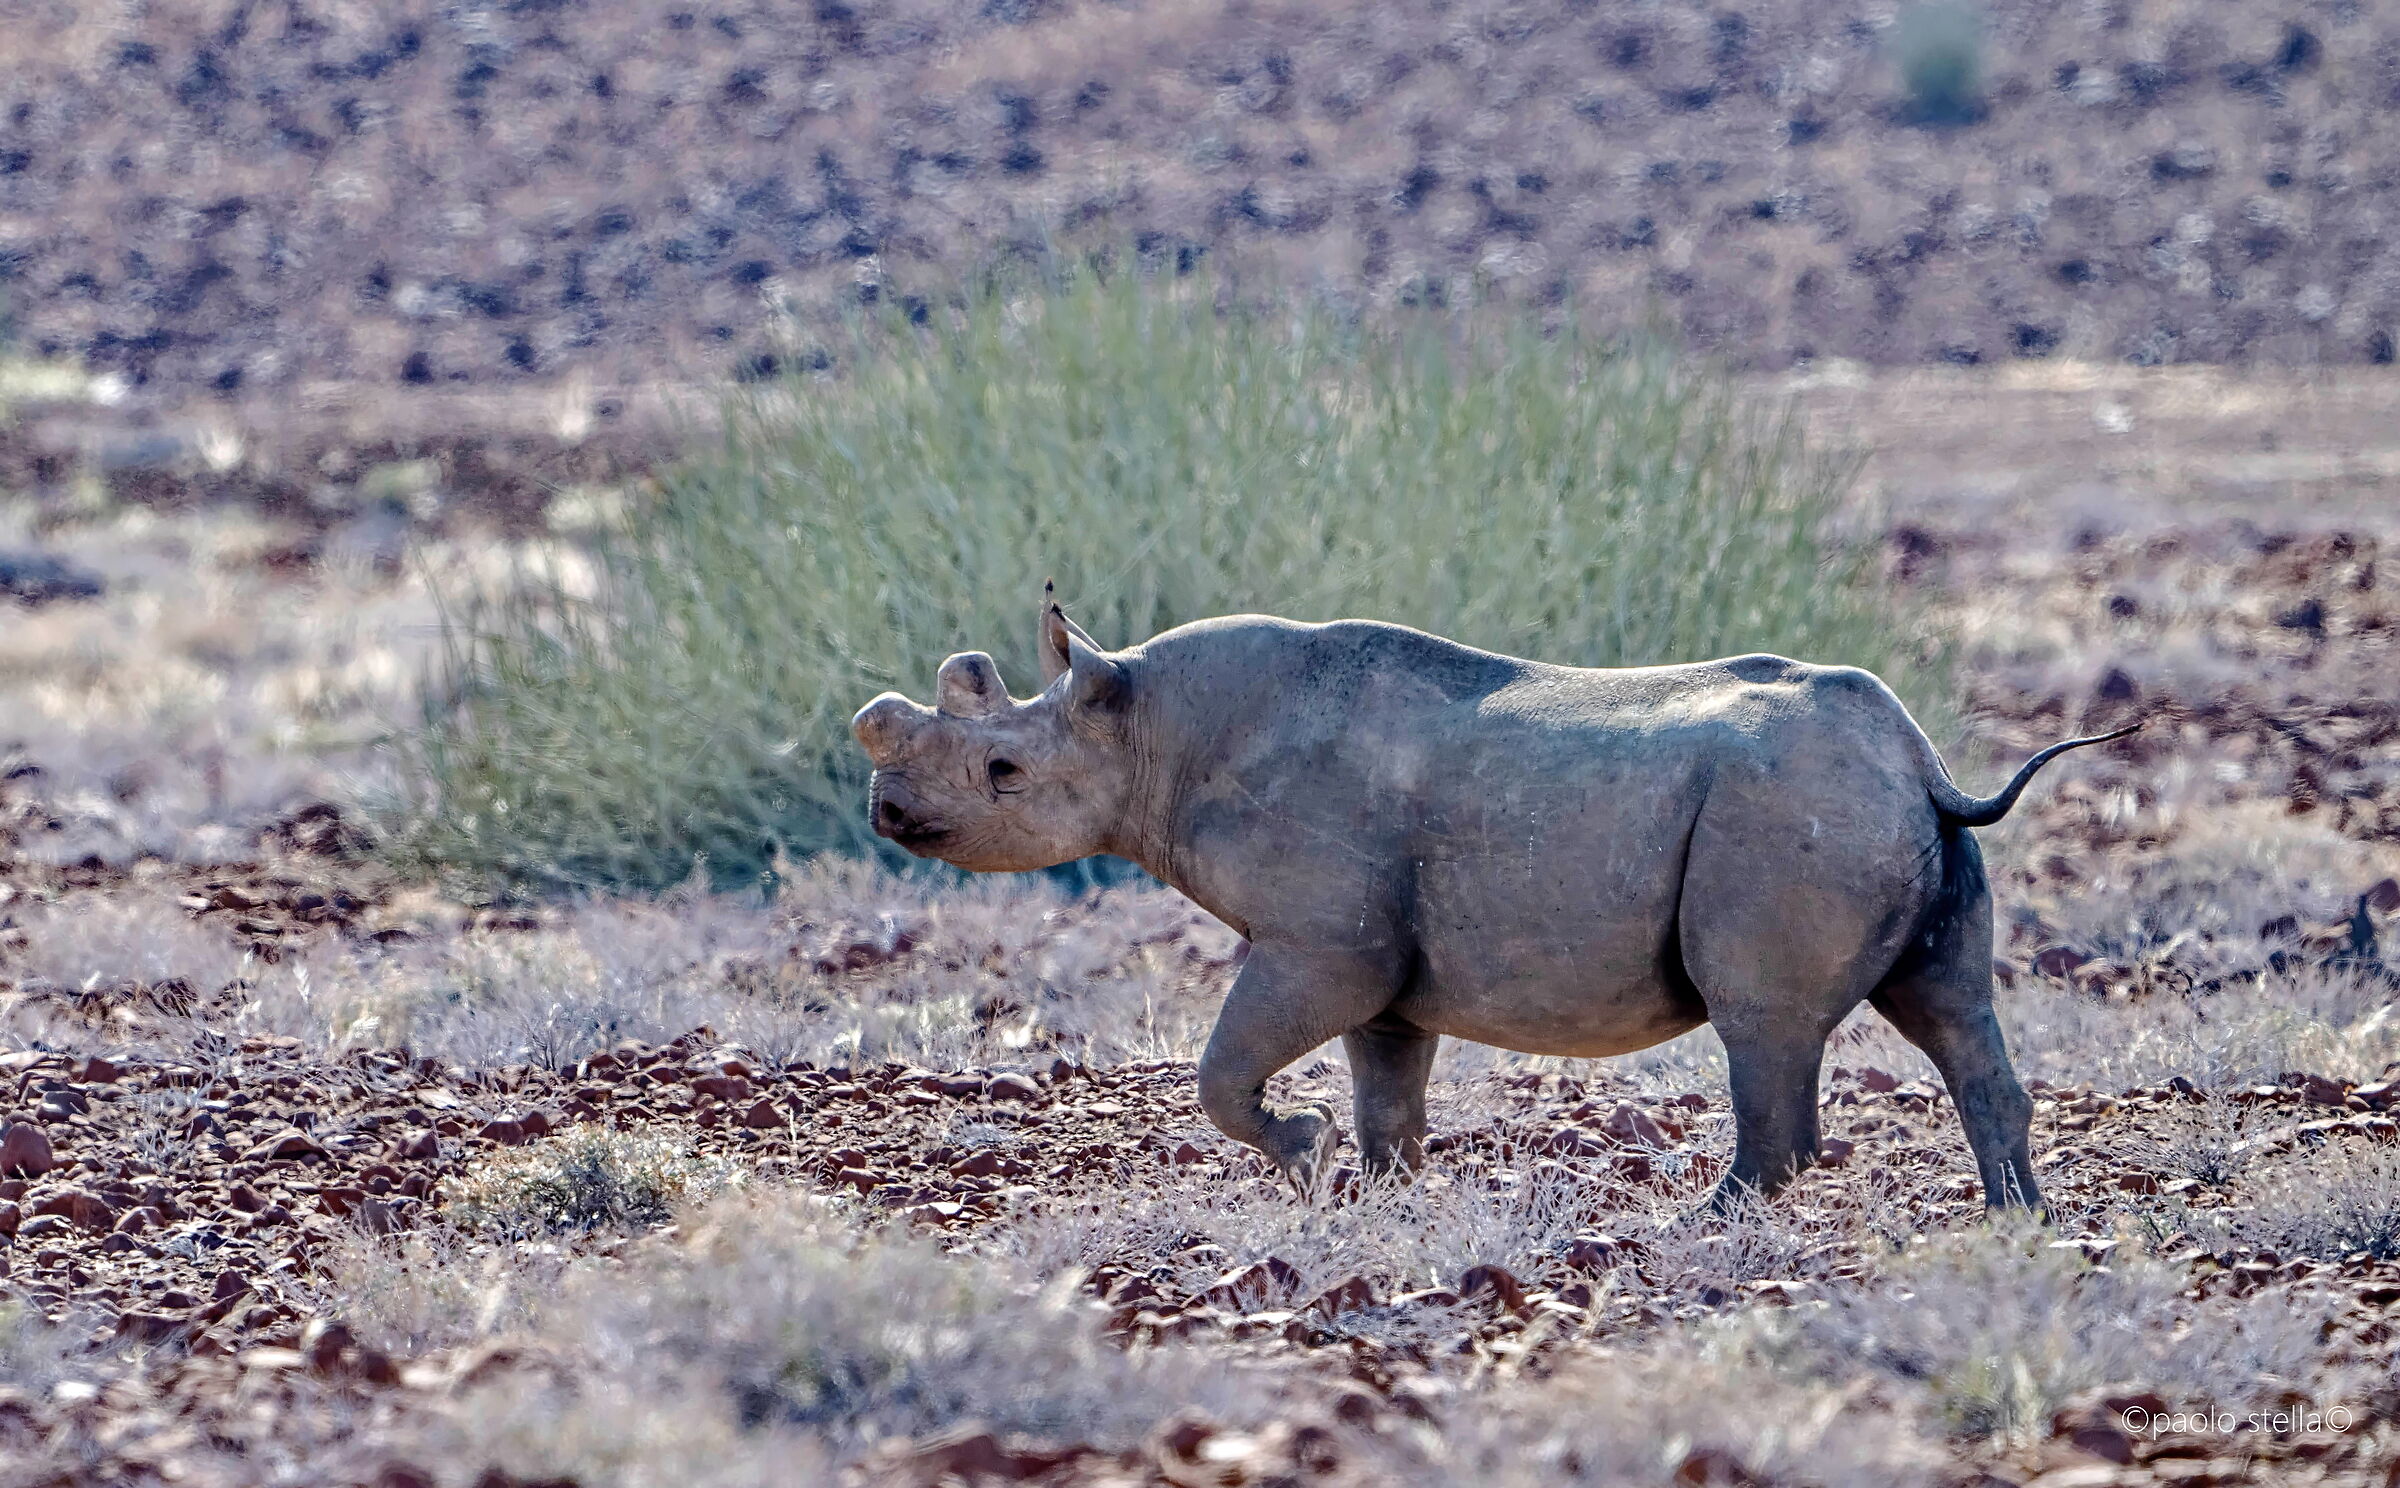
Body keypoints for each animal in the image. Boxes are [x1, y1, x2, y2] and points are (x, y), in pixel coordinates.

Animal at [851, 588, 2133, 1210]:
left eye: (1003, 774)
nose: (887, 813)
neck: (1147, 727)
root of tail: (1922, 763)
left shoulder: (1320, 942)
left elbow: (1222, 1073)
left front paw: (1303, 1154)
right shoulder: (1378, 971)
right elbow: (1389, 1093)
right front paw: (1375, 1194)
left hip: (1787, 816)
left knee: (1762, 1025)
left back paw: (1700, 1224)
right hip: (1880, 815)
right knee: (1951, 1010)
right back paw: (2018, 1225)